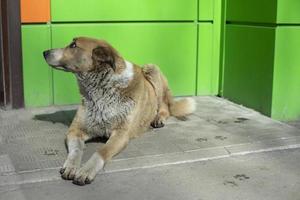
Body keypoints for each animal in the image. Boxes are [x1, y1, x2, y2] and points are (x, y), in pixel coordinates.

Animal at [42, 36, 197, 185]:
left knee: (165, 107)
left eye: (73, 45)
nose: (44, 52)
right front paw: (71, 166)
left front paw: (86, 170)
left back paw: (158, 118)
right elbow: (76, 150)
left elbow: (101, 151)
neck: (101, 89)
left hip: (151, 68)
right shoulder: (75, 130)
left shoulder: (121, 134)